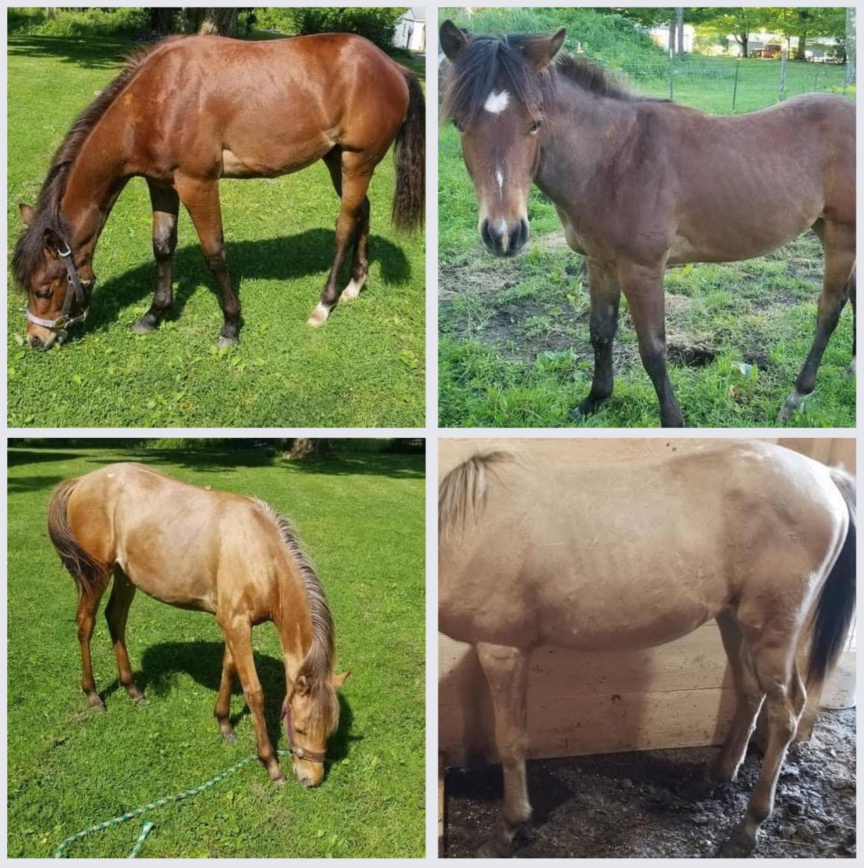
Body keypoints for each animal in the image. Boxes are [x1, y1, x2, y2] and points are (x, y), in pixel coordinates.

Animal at [14, 33, 424, 350]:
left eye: (45, 289)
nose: (36, 339)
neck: (158, 98)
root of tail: (393, 67)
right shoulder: (160, 183)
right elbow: (162, 245)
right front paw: (153, 314)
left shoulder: (197, 183)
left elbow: (214, 252)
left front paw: (230, 326)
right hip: (337, 159)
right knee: (362, 211)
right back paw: (355, 285)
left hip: (358, 161)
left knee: (344, 225)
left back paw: (324, 304)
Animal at [47, 463, 349, 787]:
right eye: (302, 727)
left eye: (329, 731)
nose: (311, 779)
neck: (261, 554)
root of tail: (82, 481)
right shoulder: (236, 623)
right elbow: (254, 691)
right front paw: (270, 763)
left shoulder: (233, 622)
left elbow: (229, 670)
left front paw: (224, 723)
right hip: (96, 574)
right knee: (85, 624)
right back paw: (92, 695)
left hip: (124, 575)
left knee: (115, 619)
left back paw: (133, 690)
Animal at [438, 441, 855, 856]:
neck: (466, 532)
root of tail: (825, 475)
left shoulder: (502, 649)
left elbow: (510, 742)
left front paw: (509, 827)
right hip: (735, 622)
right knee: (750, 692)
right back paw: (714, 777)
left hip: (771, 632)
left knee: (786, 713)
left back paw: (748, 827)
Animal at [439, 22, 856, 427]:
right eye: (459, 123)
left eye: (535, 124)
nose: (504, 234)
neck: (615, 160)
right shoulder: (600, 262)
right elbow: (600, 332)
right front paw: (595, 399)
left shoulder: (642, 269)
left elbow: (652, 349)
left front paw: (672, 421)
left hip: (842, 236)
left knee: (829, 307)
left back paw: (797, 395)